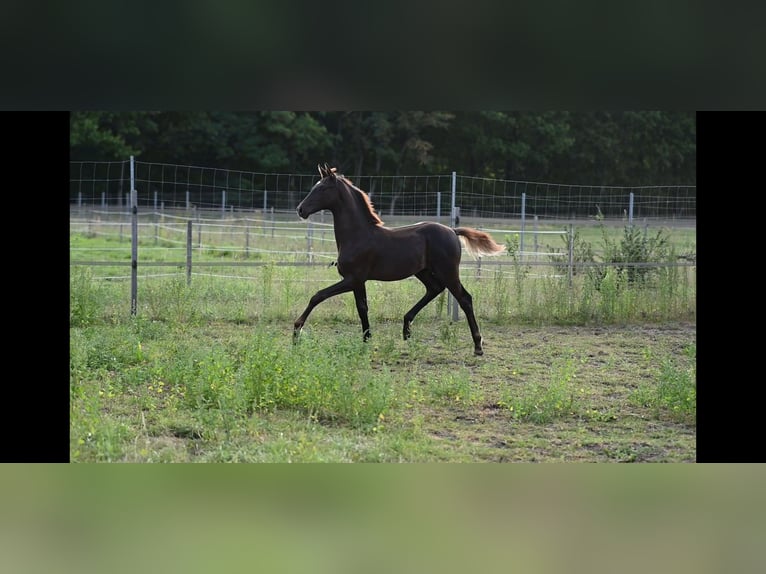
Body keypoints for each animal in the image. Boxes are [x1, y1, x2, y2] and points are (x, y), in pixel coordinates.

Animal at [294, 163, 506, 356]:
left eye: (322, 188)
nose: (300, 210)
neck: (358, 235)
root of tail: (453, 231)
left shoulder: (352, 279)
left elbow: (318, 296)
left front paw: (296, 331)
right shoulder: (358, 281)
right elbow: (362, 308)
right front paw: (367, 339)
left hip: (448, 271)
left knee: (465, 299)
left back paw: (478, 346)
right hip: (423, 271)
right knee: (434, 289)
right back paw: (406, 328)